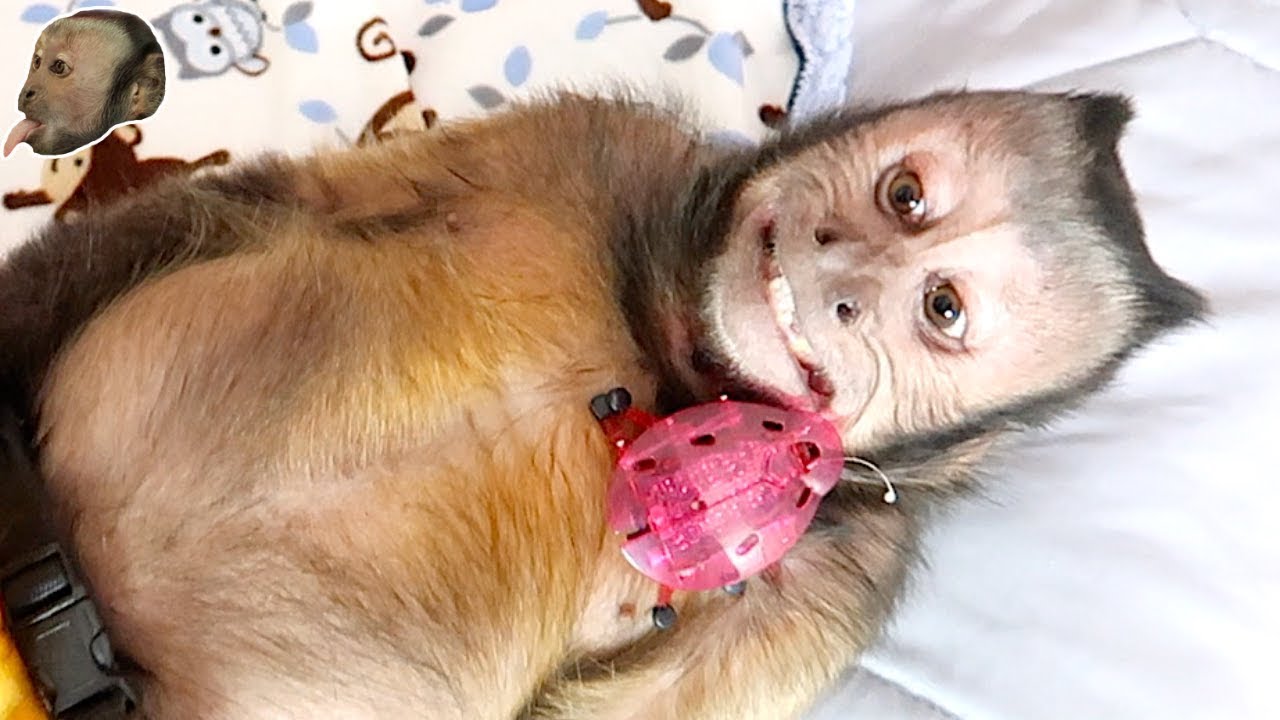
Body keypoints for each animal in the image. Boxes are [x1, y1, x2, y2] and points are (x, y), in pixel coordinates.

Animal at [0, 88, 1205, 719]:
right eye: (903, 194)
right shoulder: (597, 142)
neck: (670, 364)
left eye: (938, 308)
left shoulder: (829, 589)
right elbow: (278, 204)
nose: (841, 270)